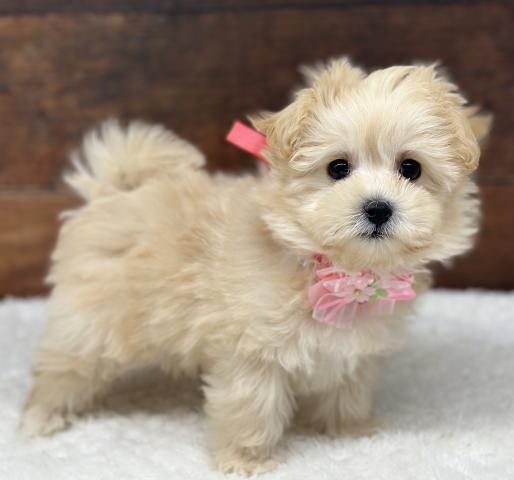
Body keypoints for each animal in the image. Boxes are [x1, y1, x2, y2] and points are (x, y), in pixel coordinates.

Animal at [21, 57, 491, 474]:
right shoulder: (252, 353)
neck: (333, 270)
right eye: (337, 168)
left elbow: (348, 391)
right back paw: (40, 418)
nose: (378, 208)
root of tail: (114, 192)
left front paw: (350, 432)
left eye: (410, 168)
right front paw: (246, 461)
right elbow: (252, 408)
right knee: (62, 367)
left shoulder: (356, 352)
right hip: (94, 321)